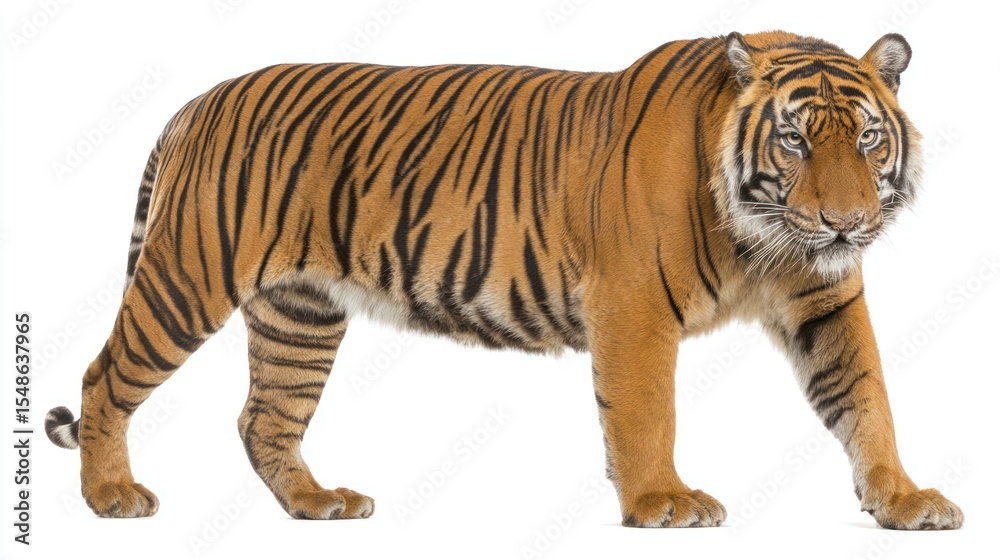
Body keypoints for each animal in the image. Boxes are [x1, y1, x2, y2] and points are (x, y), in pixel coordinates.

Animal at [45, 30, 963, 530]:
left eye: (867, 140)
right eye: (796, 141)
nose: (845, 224)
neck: (765, 240)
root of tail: (197, 101)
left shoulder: (826, 300)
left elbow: (867, 398)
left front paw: (904, 499)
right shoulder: (632, 305)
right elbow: (645, 413)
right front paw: (663, 502)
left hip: (299, 313)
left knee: (264, 417)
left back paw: (318, 503)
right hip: (188, 275)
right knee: (103, 377)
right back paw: (111, 495)